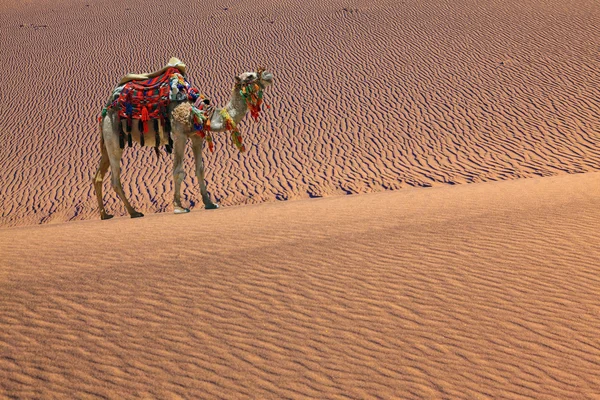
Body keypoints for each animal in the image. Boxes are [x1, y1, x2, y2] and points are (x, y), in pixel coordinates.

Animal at [94, 63, 274, 220]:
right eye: (249, 75)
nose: (269, 75)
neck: (200, 113)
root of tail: (106, 109)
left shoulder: (197, 136)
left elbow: (200, 169)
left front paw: (210, 203)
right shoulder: (179, 134)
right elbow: (178, 171)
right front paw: (179, 207)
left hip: (108, 141)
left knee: (98, 177)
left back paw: (105, 215)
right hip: (113, 136)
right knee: (115, 179)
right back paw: (134, 212)